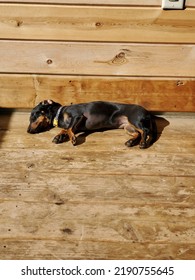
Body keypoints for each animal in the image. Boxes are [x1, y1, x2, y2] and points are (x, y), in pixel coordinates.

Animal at [27, 100, 157, 149]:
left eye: (33, 116)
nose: (28, 131)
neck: (60, 113)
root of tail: (148, 112)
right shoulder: (75, 125)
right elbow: (65, 129)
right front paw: (58, 136)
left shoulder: (77, 116)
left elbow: (69, 129)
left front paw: (73, 139)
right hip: (127, 126)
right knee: (138, 133)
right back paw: (131, 142)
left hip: (135, 120)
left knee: (145, 131)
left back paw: (142, 143)